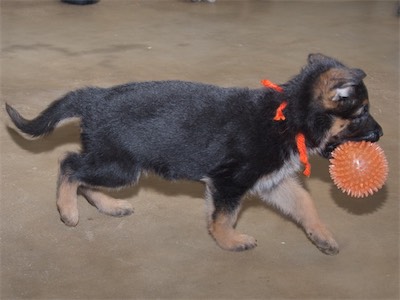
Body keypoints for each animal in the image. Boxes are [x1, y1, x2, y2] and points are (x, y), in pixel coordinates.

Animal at [5, 54, 382, 255]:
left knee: (83, 177)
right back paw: (68, 211)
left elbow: (304, 204)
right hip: (120, 165)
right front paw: (229, 241)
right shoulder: (230, 183)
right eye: (362, 112)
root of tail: (95, 98)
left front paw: (322, 236)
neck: (289, 116)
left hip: (114, 164)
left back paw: (110, 206)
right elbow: (223, 217)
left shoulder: (271, 181)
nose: (380, 135)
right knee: (69, 165)